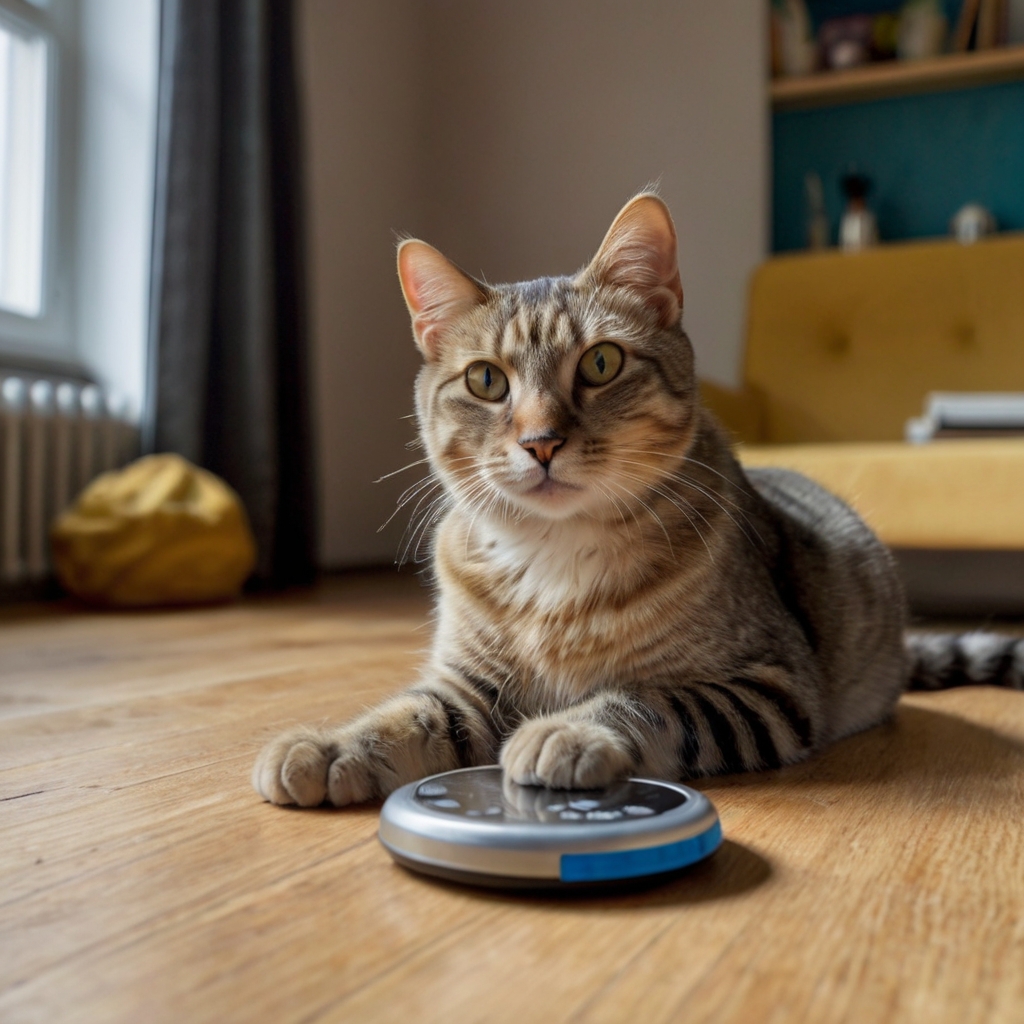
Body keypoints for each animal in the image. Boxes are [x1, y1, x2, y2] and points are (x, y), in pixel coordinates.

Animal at [253, 192, 1024, 806]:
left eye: (601, 363)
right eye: (485, 380)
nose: (540, 442)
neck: (552, 560)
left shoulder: (770, 684)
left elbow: (649, 700)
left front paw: (567, 729)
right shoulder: (469, 684)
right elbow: (404, 714)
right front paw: (328, 746)